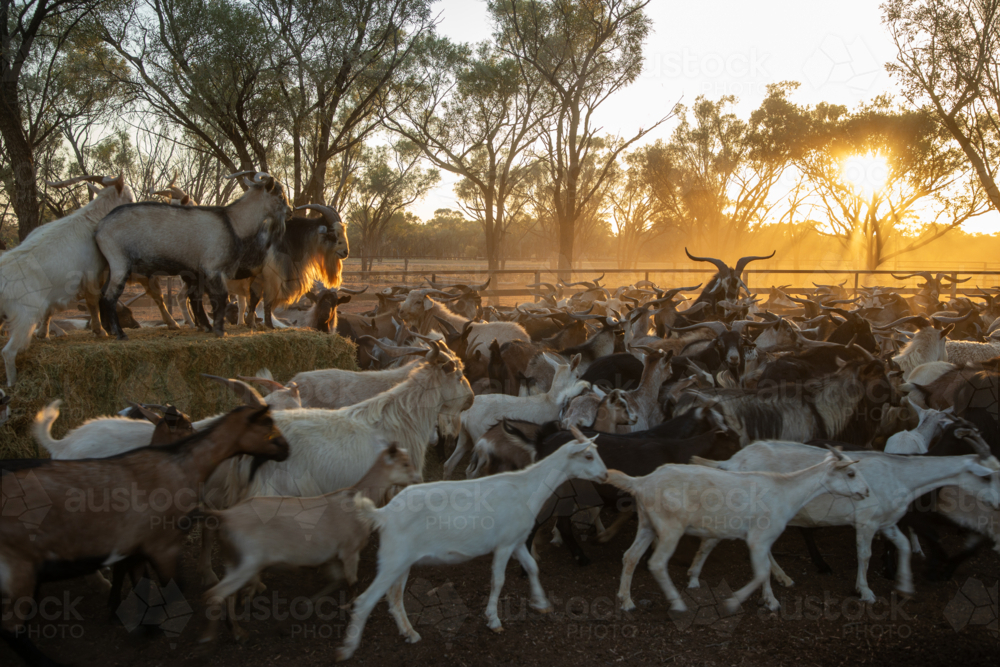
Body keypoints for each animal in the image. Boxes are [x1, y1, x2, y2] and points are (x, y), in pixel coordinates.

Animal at [95, 171, 291, 338]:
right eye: (280, 196)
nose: (290, 210)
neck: (232, 221)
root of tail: (100, 227)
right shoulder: (213, 268)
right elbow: (220, 298)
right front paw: (219, 330)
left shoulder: (198, 272)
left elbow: (202, 298)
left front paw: (208, 327)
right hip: (120, 262)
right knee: (110, 296)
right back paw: (120, 333)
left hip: (110, 267)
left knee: (102, 294)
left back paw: (109, 330)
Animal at [334, 428, 608, 660]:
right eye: (588, 455)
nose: (605, 475)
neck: (527, 488)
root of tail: (384, 513)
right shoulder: (504, 544)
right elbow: (498, 580)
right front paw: (494, 620)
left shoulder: (517, 540)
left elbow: (532, 567)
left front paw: (541, 603)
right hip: (393, 558)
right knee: (366, 600)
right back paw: (348, 648)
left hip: (401, 561)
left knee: (394, 597)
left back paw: (409, 633)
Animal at [607, 447, 870, 614]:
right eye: (850, 473)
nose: (866, 491)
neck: (786, 492)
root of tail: (641, 482)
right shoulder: (759, 538)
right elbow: (762, 572)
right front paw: (735, 602)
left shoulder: (761, 539)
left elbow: (765, 569)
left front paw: (770, 600)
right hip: (670, 526)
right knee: (657, 563)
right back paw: (678, 604)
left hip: (647, 524)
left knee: (630, 556)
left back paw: (626, 601)